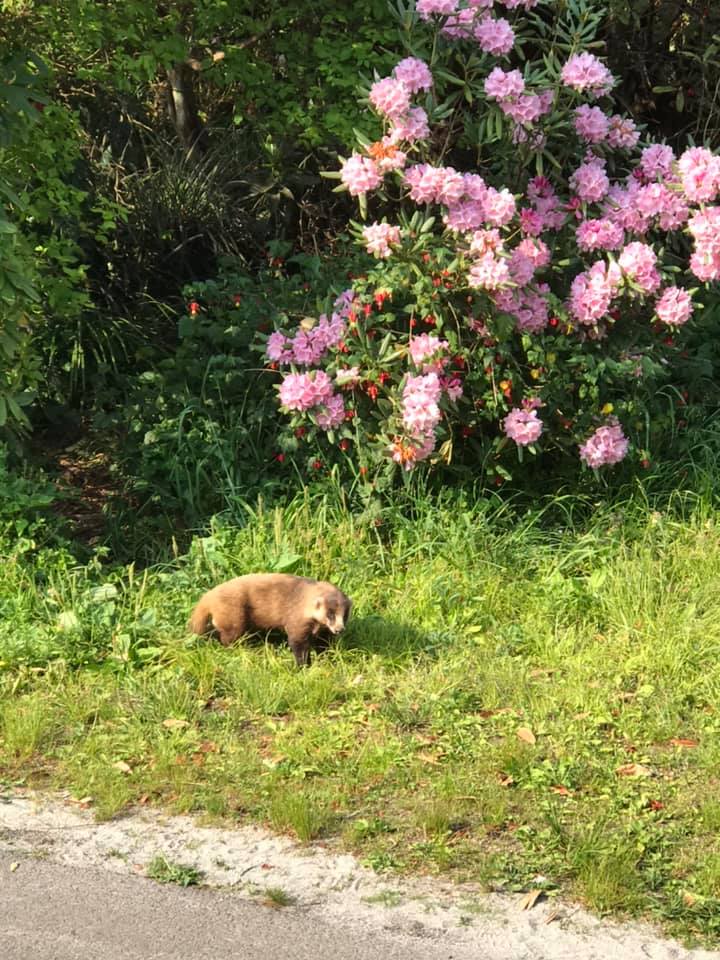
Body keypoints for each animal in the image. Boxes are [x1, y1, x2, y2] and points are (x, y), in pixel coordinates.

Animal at [188, 572, 352, 664]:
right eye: (330, 614)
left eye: (345, 614)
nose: (339, 629)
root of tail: (209, 596)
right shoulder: (297, 624)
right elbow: (299, 646)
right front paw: (304, 665)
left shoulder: (324, 632)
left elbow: (323, 645)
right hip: (234, 621)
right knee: (228, 638)